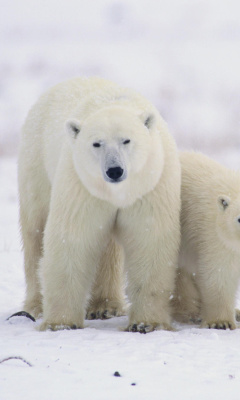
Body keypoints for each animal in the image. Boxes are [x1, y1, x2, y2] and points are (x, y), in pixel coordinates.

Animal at [18, 76, 180, 332]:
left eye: (126, 140)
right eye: (97, 143)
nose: (114, 170)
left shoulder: (150, 184)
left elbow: (149, 239)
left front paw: (146, 323)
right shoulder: (81, 185)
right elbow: (73, 237)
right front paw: (61, 323)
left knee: (108, 248)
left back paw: (105, 306)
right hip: (36, 163)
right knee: (35, 230)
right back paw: (35, 306)